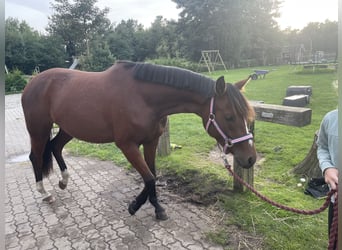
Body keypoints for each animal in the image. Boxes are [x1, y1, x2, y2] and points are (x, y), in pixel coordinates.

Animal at [21, 61, 255, 221]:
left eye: (246, 116)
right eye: (229, 117)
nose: (250, 158)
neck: (143, 98)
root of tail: (32, 82)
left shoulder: (151, 142)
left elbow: (152, 173)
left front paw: (150, 206)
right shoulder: (127, 145)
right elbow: (149, 177)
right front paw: (141, 206)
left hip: (69, 128)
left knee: (55, 147)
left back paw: (63, 181)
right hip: (39, 129)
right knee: (36, 156)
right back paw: (45, 193)